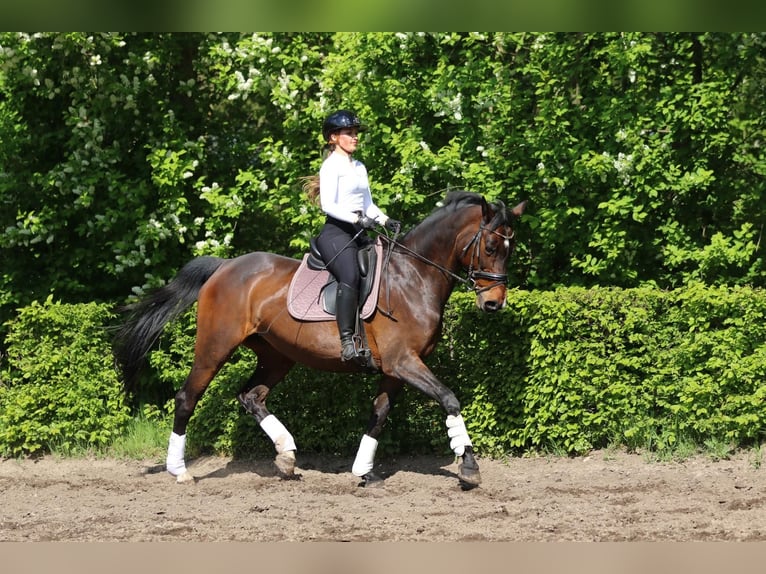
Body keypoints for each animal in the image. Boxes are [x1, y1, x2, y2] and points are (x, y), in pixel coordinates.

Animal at [113, 190, 527, 488]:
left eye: (511, 249)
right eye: (491, 247)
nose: (494, 303)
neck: (414, 276)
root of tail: (224, 267)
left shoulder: (396, 369)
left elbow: (378, 415)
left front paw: (364, 471)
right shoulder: (405, 362)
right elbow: (449, 399)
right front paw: (468, 466)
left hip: (277, 355)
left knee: (251, 396)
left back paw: (286, 456)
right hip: (214, 348)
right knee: (187, 397)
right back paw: (180, 470)